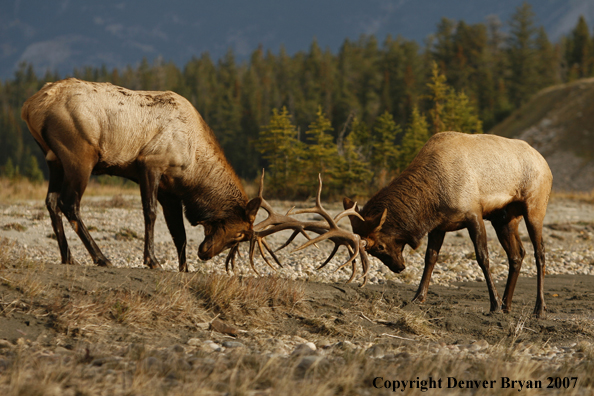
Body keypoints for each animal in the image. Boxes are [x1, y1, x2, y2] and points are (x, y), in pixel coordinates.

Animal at [22, 78, 260, 270]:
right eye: (239, 233)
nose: (205, 253)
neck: (193, 167)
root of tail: (30, 106)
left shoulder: (169, 191)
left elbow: (178, 231)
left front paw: (184, 268)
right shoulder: (150, 164)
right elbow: (150, 213)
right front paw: (152, 260)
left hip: (54, 160)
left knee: (51, 201)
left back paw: (68, 257)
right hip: (79, 156)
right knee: (69, 203)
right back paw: (101, 258)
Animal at [340, 131, 552, 318]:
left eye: (380, 246)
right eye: (372, 251)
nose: (399, 267)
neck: (432, 196)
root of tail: (546, 165)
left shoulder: (474, 214)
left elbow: (483, 257)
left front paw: (494, 304)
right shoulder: (438, 226)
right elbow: (430, 258)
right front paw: (418, 297)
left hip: (535, 208)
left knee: (539, 252)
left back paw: (539, 308)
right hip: (504, 219)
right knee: (517, 254)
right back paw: (507, 305)